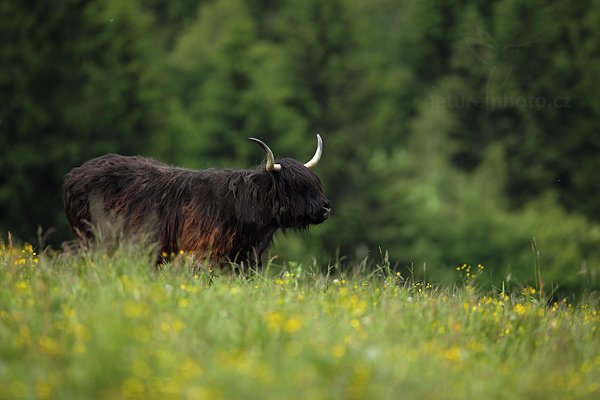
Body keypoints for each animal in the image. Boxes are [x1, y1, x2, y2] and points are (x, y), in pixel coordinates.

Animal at [63, 135, 330, 268]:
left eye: (317, 184)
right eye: (297, 186)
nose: (326, 208)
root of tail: (74, 174)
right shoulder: (201, 252)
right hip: (91, 239)